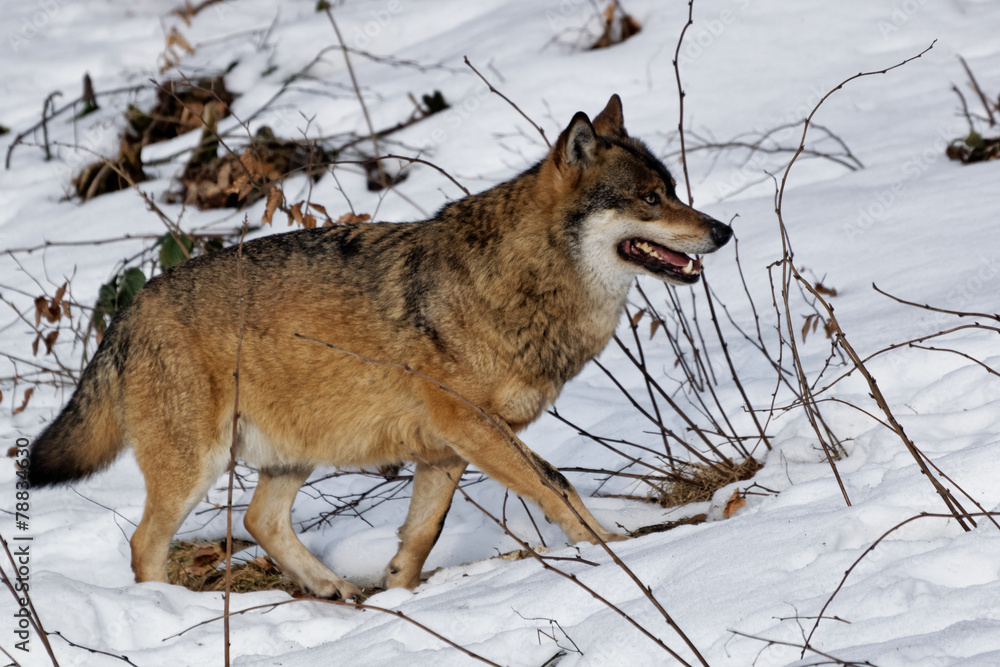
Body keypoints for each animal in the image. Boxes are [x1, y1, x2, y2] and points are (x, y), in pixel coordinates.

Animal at [29, 95, 732, 600]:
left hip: (291, 455)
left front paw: (399, 594)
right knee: (145, 544)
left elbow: (423, 533)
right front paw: (613, 548)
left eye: (672, 189)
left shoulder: (448, 448)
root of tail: (129, 307)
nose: (723, 230)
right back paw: (167, 611)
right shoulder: (472, 427)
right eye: (651, 199)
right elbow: (558, 485)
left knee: (259, 522)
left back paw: (332, 588)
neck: (521, 281)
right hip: (196, 467)